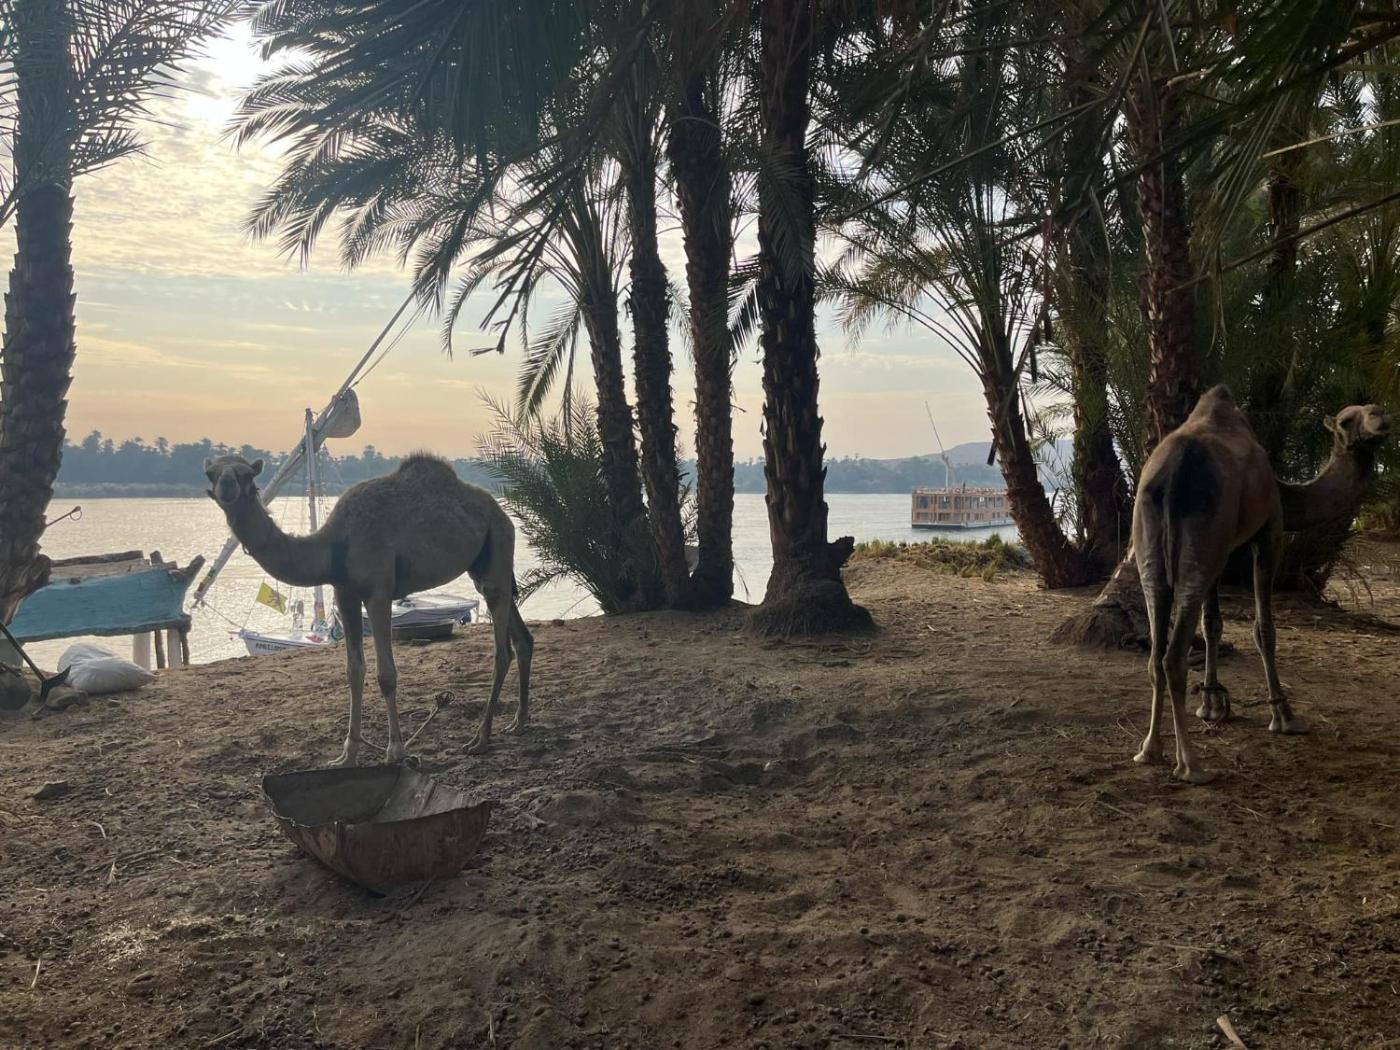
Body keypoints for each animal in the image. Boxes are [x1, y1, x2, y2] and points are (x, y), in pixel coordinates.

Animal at [204, 453, 532, 764]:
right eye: (211, 473)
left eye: (247, 474)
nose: (227, 486)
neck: (335, 546)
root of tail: (501, 511)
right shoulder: (344, 593)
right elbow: (353, 670)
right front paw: (347, 755)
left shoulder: (378, 591)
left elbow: (385, 674)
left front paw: (396, 751)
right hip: (481, 565)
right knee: (522, 638)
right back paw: (518, 722)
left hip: (497, 545)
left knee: (502, 649)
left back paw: (481, 738)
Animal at [1131, 386, 1390, 783]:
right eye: (1347, 420)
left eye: (1375, 410)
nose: (1380, 417)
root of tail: (1172, 474)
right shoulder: (1270, 531)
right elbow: (1263, 629)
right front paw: (1284, 715)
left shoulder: (1223, 548)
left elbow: (1213, 623)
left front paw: (1212, 704)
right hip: (1202, 537)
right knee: (1173, 656)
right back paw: (1191, 765)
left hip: (1154, 544)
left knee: (1156, 651)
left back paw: (1149, 751)